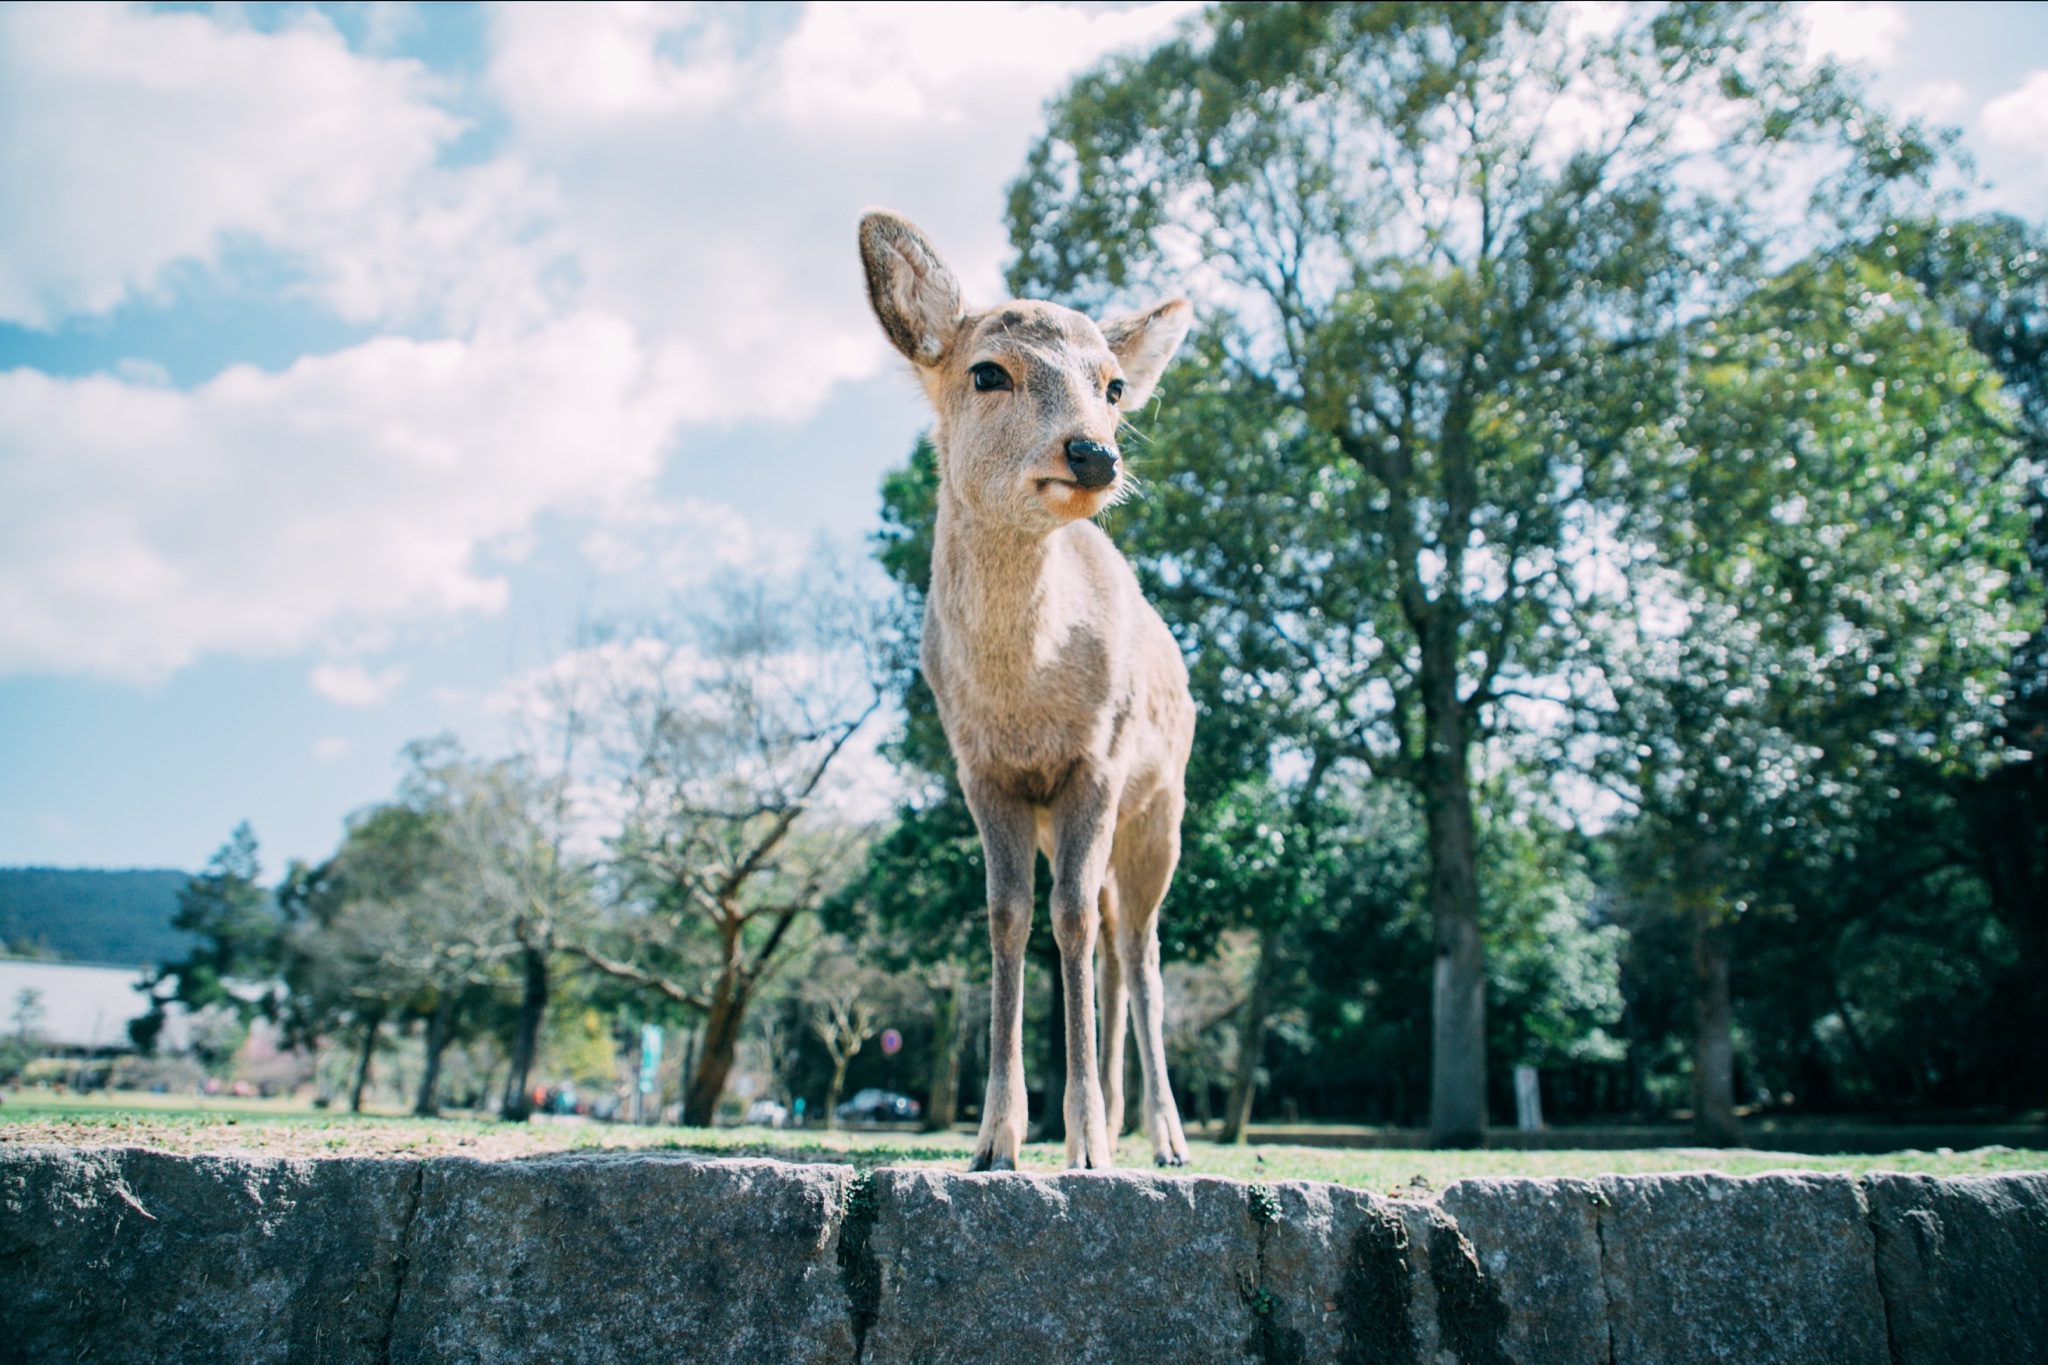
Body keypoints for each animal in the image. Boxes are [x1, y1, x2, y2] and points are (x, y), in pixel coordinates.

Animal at [851, 208, 1196, 1170]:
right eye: (987, 371)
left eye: (1113, 386)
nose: (1094, 453)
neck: (1026, 700)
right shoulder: (982, 771)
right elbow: (1009, 917)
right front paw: (996, 1138)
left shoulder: (1099, 761)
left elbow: (1069, 919)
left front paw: (1082, 1139)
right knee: (1113, 940)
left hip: (1163, 809)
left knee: (1138, 945)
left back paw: (1161, 1136)